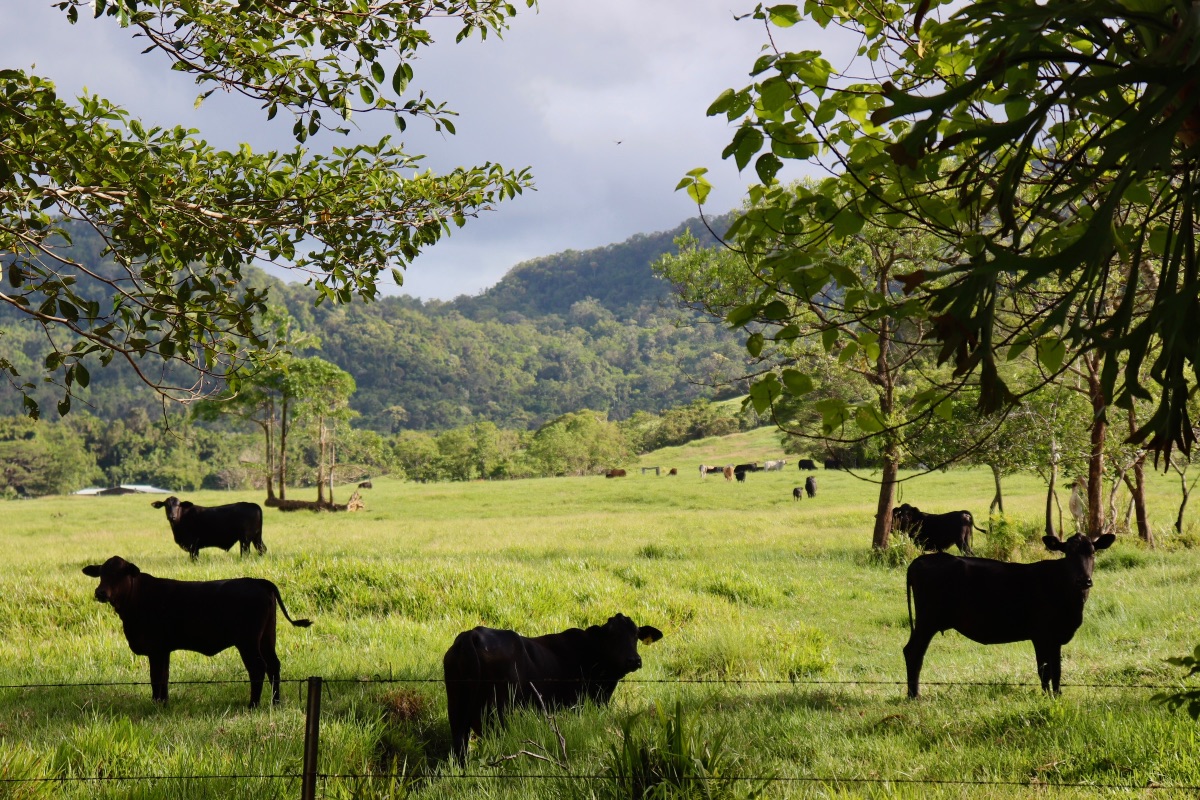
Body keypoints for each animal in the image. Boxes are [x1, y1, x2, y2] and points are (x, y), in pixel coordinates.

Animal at [80, 556, 312, 705]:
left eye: (120, 574)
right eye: (101, 574)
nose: (100, 592)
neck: (136, 599)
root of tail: (258, 581)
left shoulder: (156, 649)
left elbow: (156, 677)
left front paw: (156, 703)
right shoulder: (164, 650)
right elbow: (164, 676)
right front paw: (163, 703)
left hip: (248, 642)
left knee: (258, 668)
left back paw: (253, 705)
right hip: (267, 638)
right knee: (274, 665)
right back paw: (275, 702)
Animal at [444, 614, 662, 762]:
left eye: (636, 634)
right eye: (612, 635)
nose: (634, 660)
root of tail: (472, 634)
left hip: (457, 709)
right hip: (496, 713)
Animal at [902, 534, 1118, 695]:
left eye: (1092, 552)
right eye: (1068, 554)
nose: (1084, 580)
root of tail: (919, 561)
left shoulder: (1052, 638)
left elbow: (1053, 670)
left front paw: (1054, 696)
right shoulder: (1043, 635)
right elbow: (1046, 670)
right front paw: (1049, 697)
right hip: (927, 621)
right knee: (913, 652)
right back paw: (914, 696)